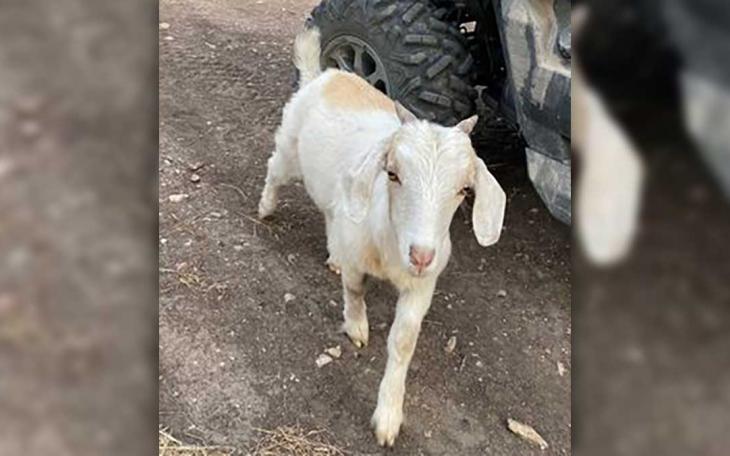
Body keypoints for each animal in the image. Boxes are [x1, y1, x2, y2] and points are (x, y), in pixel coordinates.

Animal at [258, 27, 506, 447]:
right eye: (392, 174)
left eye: (463, 190)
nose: (421, 255)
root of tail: (324, 76)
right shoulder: (360, 256)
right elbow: (354, 290)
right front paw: (357, 328)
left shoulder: (422, 286)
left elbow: (403, 341)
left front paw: (388, 417)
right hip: (291, 150)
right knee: (275, 170)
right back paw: (265, 207)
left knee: (331, 213)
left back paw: (332, 254)